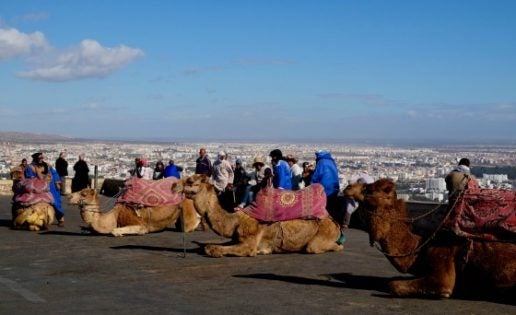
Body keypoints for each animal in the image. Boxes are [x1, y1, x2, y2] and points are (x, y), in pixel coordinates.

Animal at [70, 188, 202, 237]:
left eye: (83, 194)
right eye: (81, 190)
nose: (70, 196)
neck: (115, 215)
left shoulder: (141, 226)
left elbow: (114, 230)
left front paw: (119, 234)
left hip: (187, 207)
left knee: (187, 226)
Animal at [171, 174, 344, 258]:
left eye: (190, 181)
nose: (173, 185)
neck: (235, 221)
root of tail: (334, 222)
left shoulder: (250, 241)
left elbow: (213, 249)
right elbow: (209, 246)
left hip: (322, 235)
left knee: (318, 247)